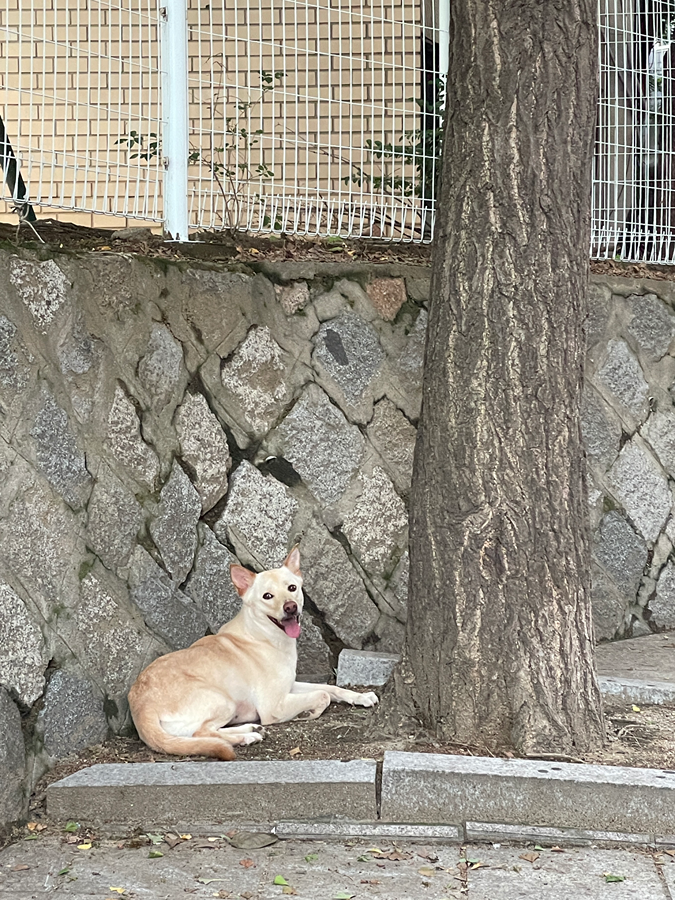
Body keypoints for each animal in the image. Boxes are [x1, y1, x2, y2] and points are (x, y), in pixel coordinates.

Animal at [128, 548, 380, 760]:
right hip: (223, 700)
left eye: (292, 588)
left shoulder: (289, 686)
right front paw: (309, 711)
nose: (290, 607)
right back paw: (245, 737)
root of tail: (140, 706)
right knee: (201, 734)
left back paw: (248, 728)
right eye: (267, 596)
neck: (263, 635)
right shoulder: (274, 706)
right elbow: (323, 695)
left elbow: (331, 688)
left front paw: (361, 696)